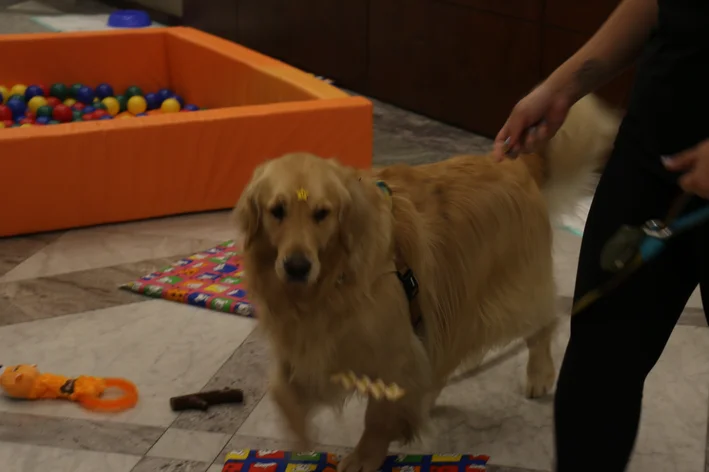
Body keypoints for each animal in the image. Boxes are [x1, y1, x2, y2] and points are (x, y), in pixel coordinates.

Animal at [234, 94, 620, 470]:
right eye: (277, 211)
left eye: (322, 214)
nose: (297, 267)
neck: (332, 279)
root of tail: (515, 164)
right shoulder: (308, 339)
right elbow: (281, 391)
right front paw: (300, 435)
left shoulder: (392, 349)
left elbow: (379, 414)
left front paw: (364, 456)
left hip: (513, 288)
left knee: (540, 326)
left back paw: (539, 374)